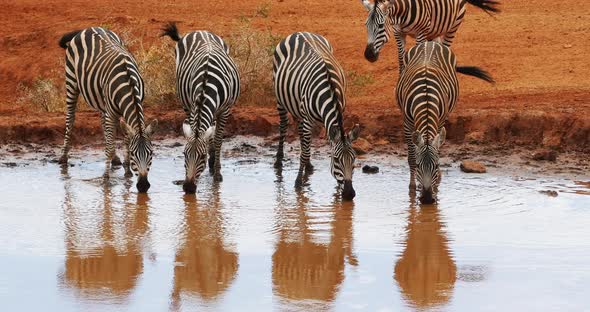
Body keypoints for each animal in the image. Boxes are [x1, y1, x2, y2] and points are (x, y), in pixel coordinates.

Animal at [58, 27, 158, 193]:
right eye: (135, 154)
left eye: (151, 154)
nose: (143, 186)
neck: (128, 83)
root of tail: (87, 28)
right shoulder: (112, 112)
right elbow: (110, 147)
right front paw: (106, 178)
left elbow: (126, 138)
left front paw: (127, 170)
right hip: (71, 82)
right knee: (70, 119)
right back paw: (63, 157)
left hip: (100, 98)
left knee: (103, 122)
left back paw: (116, 159)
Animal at [161, 23, 242, 194]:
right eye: (184, 154)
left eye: (202, 156)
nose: (189, 187)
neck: (207, 84)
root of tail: (200, 31)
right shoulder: (193, 106)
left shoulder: (224, 110)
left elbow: (218, 140)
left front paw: (217, 173)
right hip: (185, 101)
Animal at [272, 31, 360, 200]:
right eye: (337, 160)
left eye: (354, 159)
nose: (349, 194)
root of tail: (299, 32)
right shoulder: (308, 118)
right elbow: (305, 152)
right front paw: (298, 183)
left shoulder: (339, 111)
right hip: (280, 97)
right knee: (283, 125)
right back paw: (279, 160)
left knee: (301, 134)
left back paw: (308, 165)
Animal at [364, 0, 502, 72]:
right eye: (366, 25)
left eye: (381, 26)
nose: (368, 55)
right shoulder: (398, 33)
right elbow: (401, 59)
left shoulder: (421, 33)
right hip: (434, 31)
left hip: (453, 26)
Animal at [400, 41, 498, 204]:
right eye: (420, 166)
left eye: (437, 165)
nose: (427, 199)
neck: (426, 99)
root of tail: (430, 42)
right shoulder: (407, 123)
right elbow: (411, 157)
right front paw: (412, 188)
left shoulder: (440, 120)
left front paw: (436, 185)